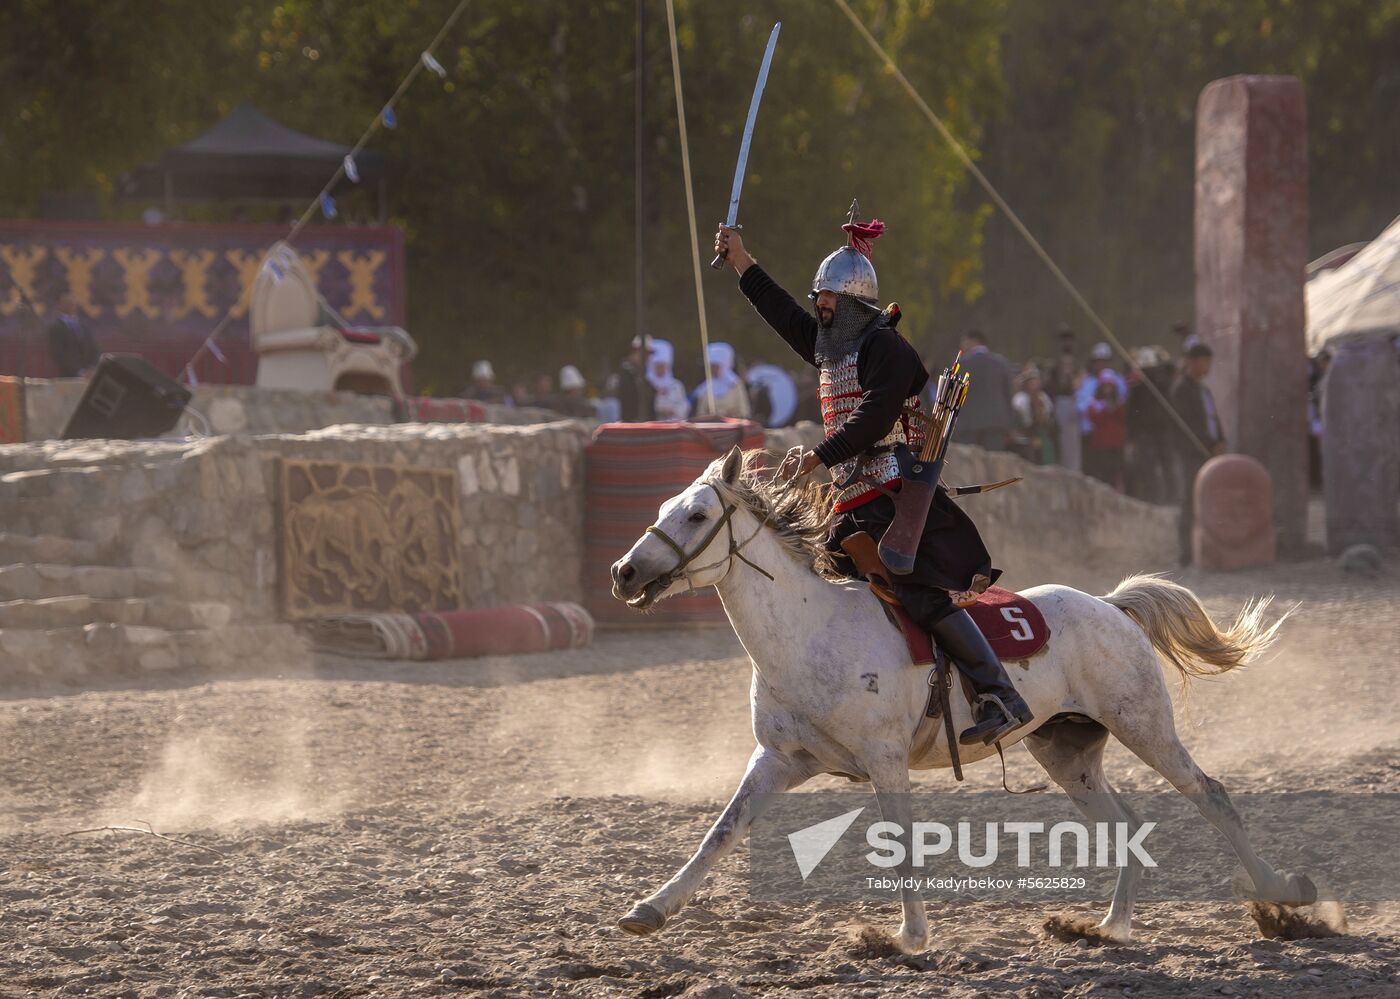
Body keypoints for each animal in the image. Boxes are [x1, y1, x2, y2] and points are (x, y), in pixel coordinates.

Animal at [610, 450, 1321, 951]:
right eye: (667, 506)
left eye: (697, 516)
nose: (624, 572)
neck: (809, 630)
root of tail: (1112, 607)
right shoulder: (778, 760)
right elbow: (722, 831)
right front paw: (651, 909)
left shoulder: (885, 762)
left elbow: (898, 842)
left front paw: (907, 938)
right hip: (1066, 751)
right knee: (1123, 826)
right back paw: (1107, 929)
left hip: (1144, 726)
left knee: (1211, 796)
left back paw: (1283, 894)